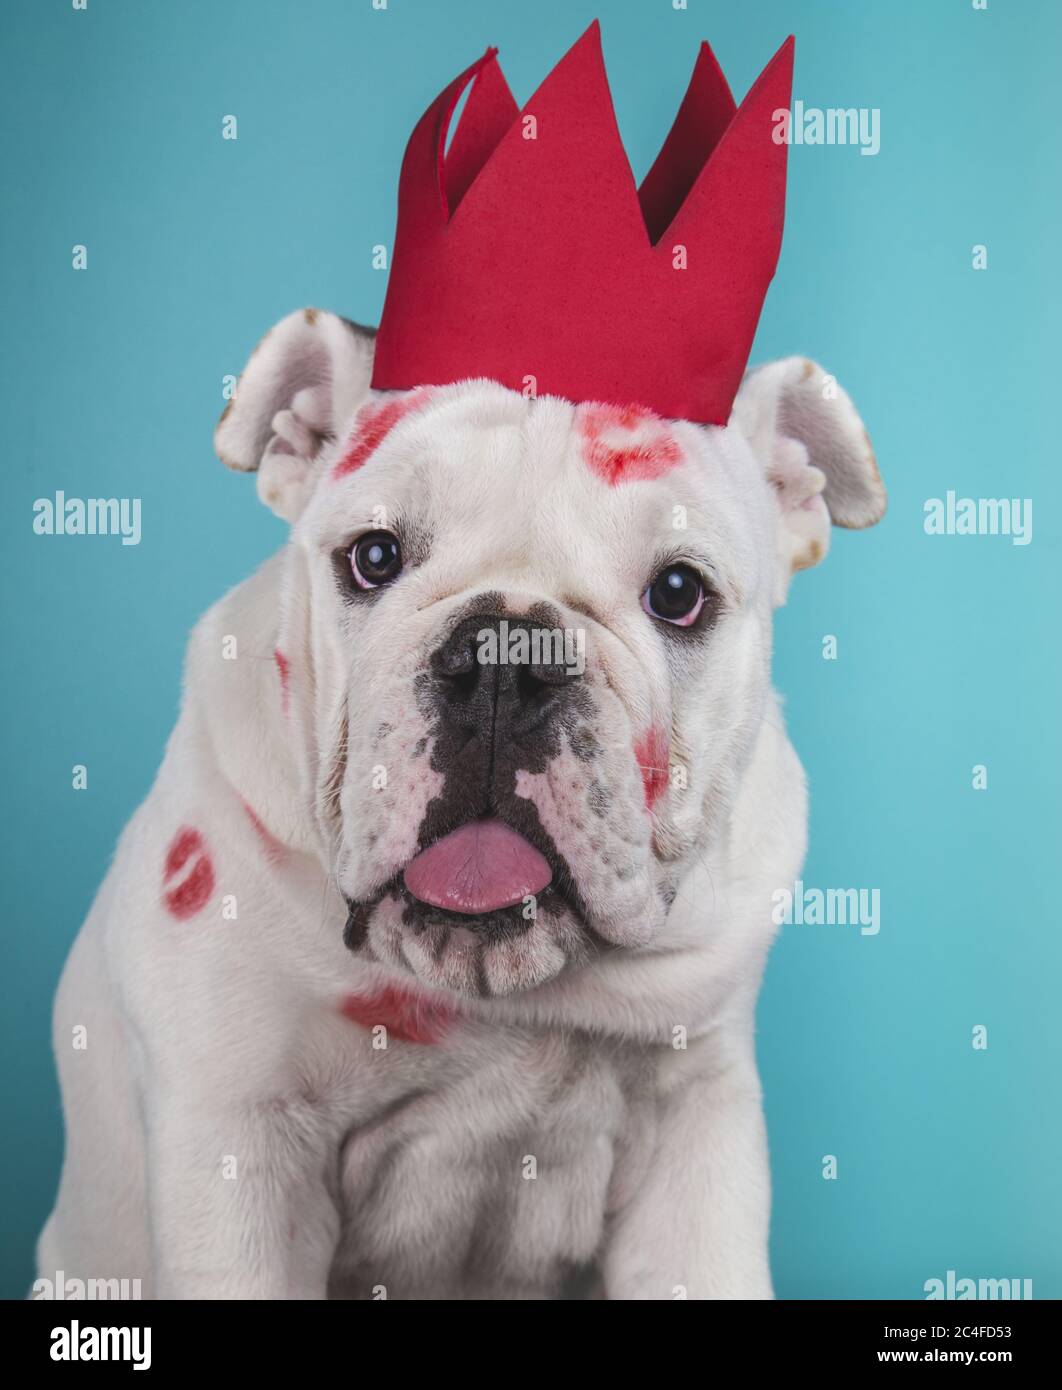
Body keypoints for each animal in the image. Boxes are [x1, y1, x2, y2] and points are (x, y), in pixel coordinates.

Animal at [35, 298, 889, 1295]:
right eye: (372, 557)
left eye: (680, 593)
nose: (503, 661)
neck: (504, 997)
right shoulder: (238, 1140)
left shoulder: (694, 1126)